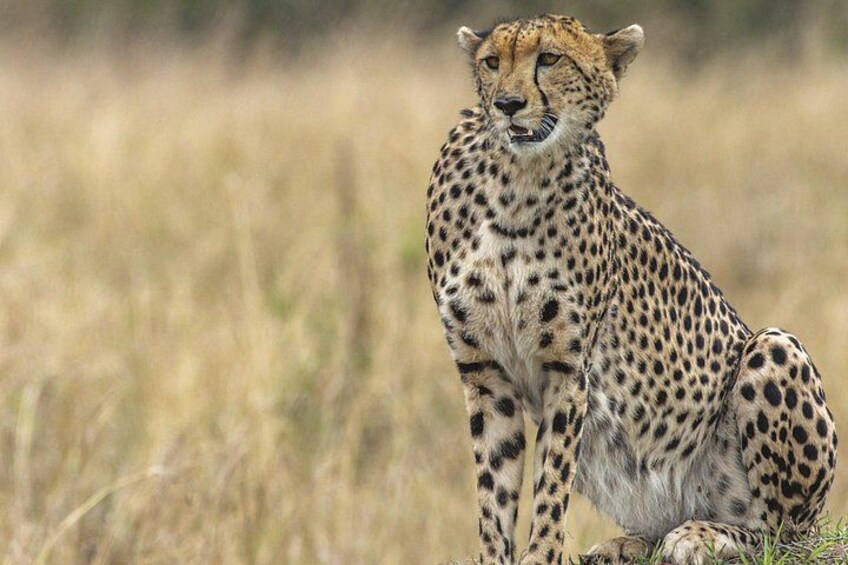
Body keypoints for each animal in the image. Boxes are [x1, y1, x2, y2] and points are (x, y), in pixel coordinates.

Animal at [424, 14, 837, 565]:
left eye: (548, 59)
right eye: (492, 63)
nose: (507, 104)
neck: (517, 180)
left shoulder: (567, 369)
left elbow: (552, 479)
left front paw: (542, 553)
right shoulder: (485, 372)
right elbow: (495, 487)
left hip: (774, 347)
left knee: (777, 531)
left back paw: (703, 535)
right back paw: (629, 542)